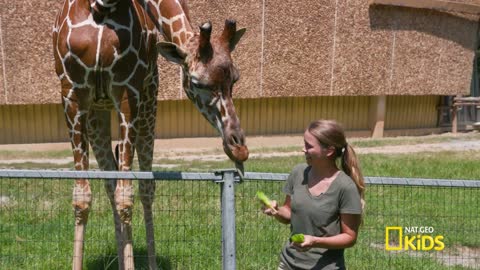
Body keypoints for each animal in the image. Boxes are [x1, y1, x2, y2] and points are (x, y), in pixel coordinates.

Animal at [52, 1, 248, 268]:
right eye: (197, 82)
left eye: (235, 79)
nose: (239, 148)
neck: (102, 7)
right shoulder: (72, 92)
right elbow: (82, 197)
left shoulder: (129, 91)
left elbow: (127, 195)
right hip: (96, 111)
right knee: (110, 182)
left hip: (148, 99)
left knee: (145, 187)